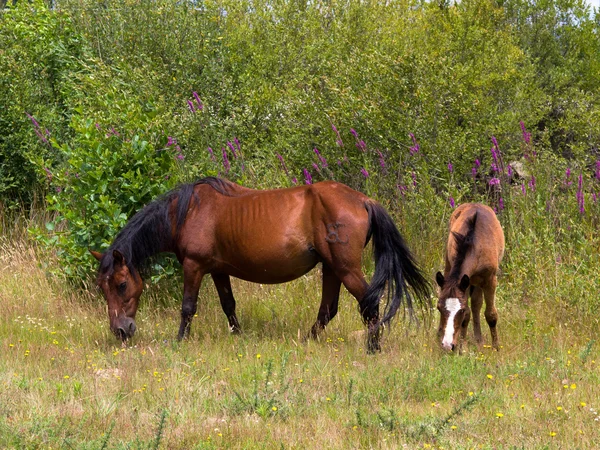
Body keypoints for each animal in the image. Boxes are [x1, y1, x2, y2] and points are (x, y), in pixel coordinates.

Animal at [89, 178, 428, 354]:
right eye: (102, 288)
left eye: (121, 284)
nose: (121, 331)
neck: (188, 211)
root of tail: (363, 200)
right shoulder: (218, 269)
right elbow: (228, 304)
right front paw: (238, 336)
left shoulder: (194, 266)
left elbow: (187, 307)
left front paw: (179, 341)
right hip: (331, 268)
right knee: (328, 309)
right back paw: (307, 342)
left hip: (344, 268)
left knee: (369, 302)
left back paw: (373, 348)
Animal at [434, 202, 504, 354]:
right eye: (439, 308)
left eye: (459, 310)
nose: (447, 345)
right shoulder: (464, 283)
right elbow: (467, 315)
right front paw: (462, 348)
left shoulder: (490, 280)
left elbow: (491, 315)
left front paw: (496, 347)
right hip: (451, 268)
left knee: (477, 304)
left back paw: (479, 340)